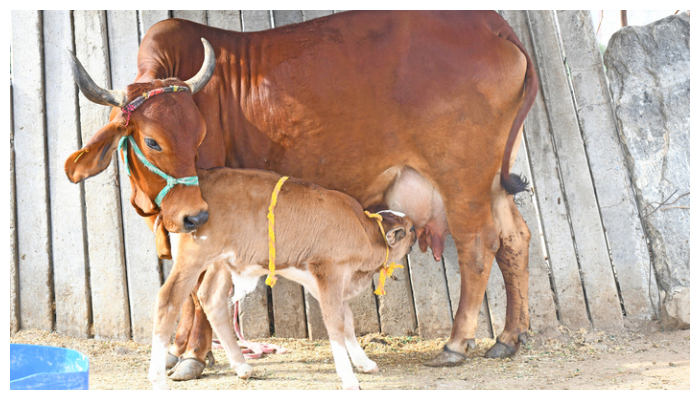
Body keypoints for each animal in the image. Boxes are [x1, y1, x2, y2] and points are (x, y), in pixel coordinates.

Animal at [148, 167, 416, 389]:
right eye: (410, 229)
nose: (417, 232)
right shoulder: (329, 271)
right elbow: (336, 323)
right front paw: (349, 379)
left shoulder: (322, 281)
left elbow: (347, 320)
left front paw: (364, 363)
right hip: (193, 258)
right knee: (168, 299)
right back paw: (157, 378)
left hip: (220, 261)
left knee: (210, 298)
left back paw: (242, 366)